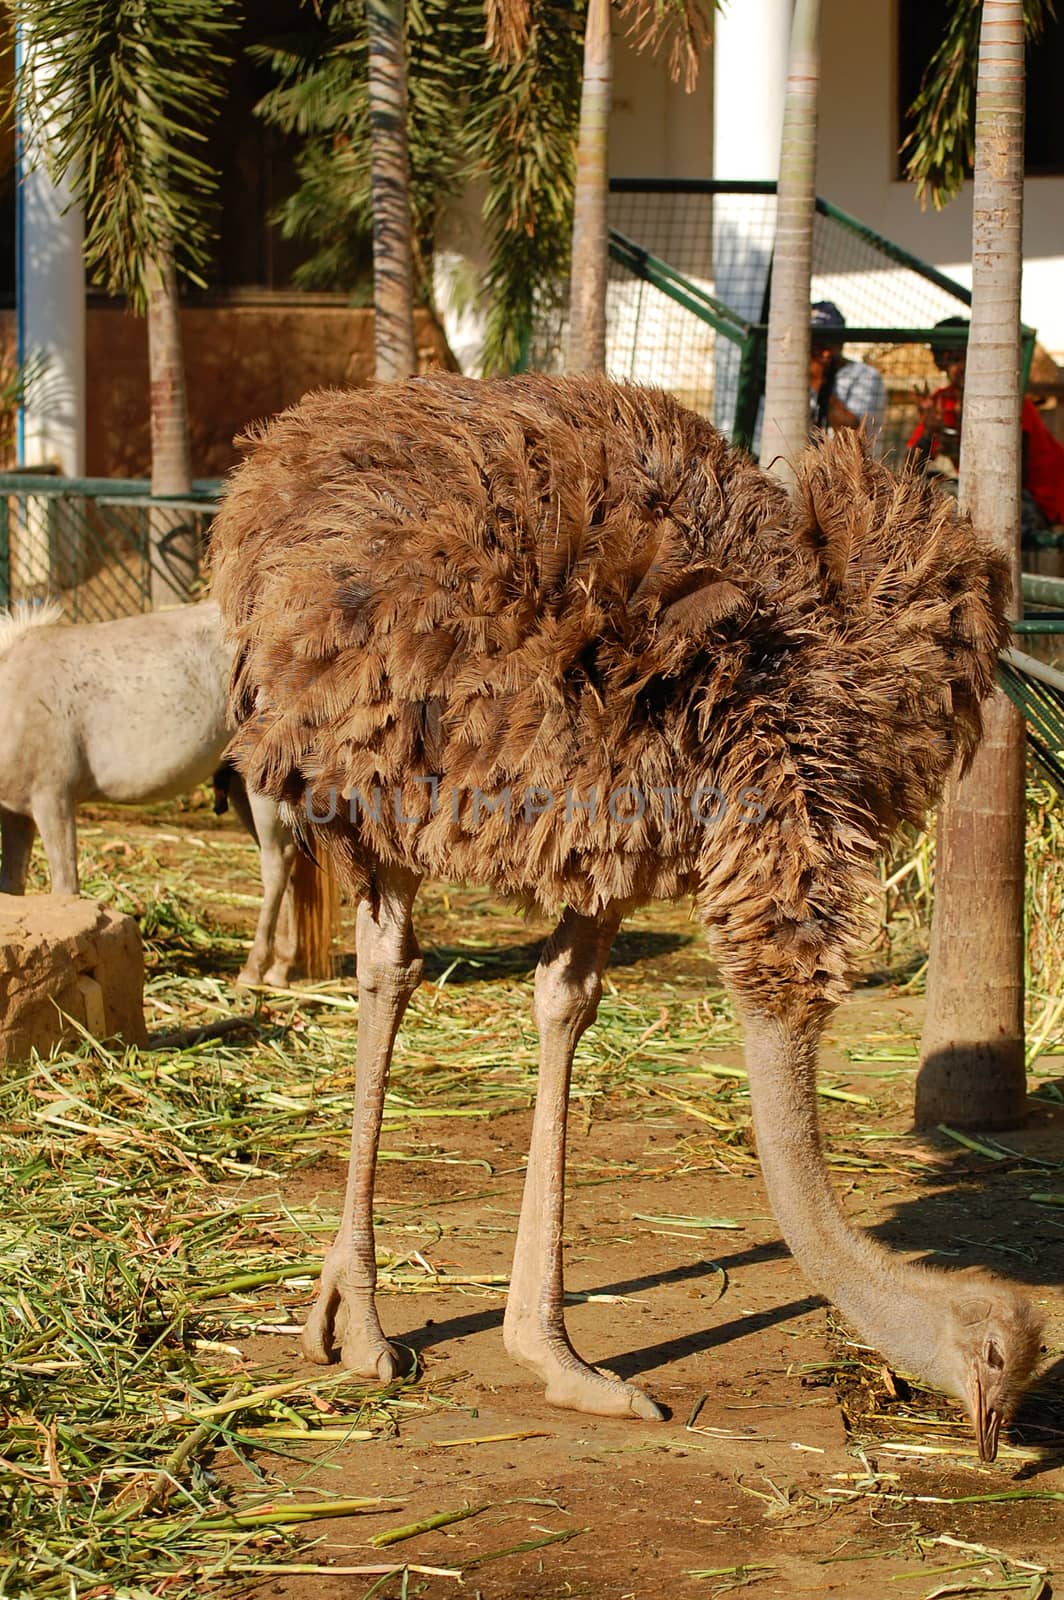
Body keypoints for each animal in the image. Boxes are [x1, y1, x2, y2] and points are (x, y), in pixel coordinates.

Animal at [0, 598, 334, 979]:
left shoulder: (53, 802)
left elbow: (65, 889)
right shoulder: (16, 814)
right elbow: (12, 888)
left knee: (276, 866)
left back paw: (254, 969)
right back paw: (280, 967)